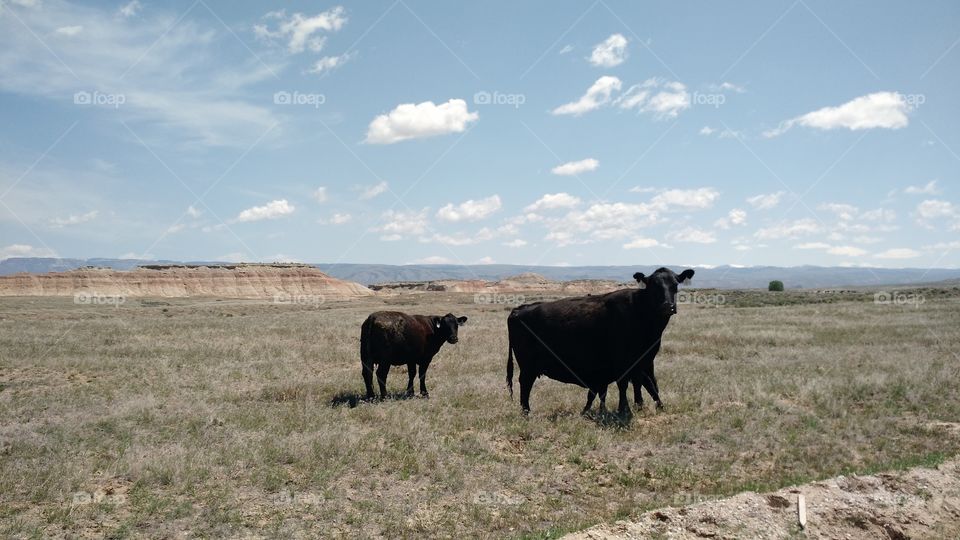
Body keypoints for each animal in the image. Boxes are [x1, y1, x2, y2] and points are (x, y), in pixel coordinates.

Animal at [506, 268, 692, 416]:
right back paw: (526, 412)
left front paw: (646, 406)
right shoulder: (623, 362)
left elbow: (647, 384)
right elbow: (626, 385)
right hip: (528, 366)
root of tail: (519, 309)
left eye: (675, 285)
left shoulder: (643, 361)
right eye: (653, 286)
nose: (668, 306)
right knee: (525, 385)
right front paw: (625, 409)